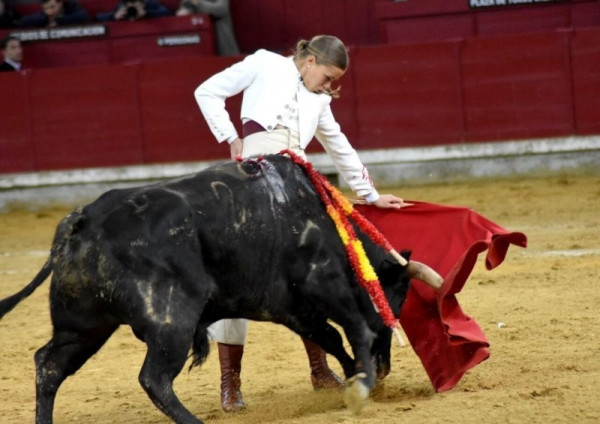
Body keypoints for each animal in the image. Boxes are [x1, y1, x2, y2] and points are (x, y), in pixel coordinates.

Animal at [0, 154, 441, 424]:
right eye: (398, 297)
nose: (384, 370)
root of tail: (83, 220)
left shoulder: (290, 307)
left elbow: (328, 337)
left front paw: (353, 377)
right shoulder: (327, 287)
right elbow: (355, 329)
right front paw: (361, 384)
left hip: (85, 326)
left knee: (49, 364)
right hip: (170, 321)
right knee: (153, 378)